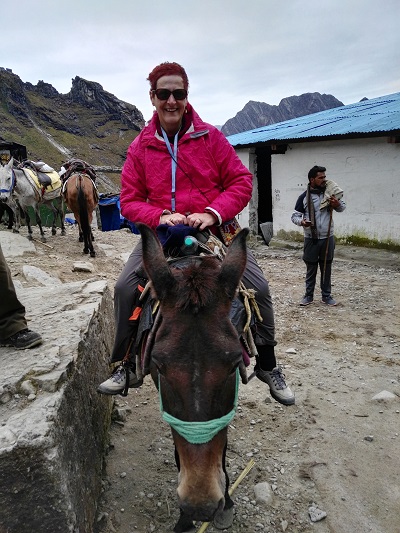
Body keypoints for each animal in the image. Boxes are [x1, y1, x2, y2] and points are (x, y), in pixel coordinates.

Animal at [139, 223, 248, 532]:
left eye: (234, 364)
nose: (200, 506)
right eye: (159, 366)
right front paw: (184, 519)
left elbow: (221, 448)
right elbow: (179, 450)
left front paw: (226, 502)